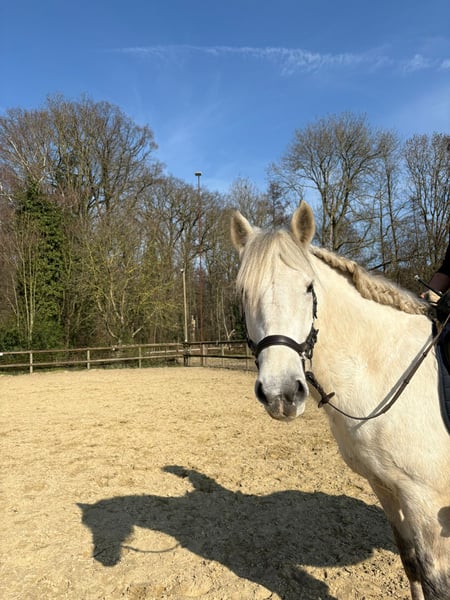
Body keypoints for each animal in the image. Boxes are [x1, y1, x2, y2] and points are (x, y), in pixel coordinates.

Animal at [231, 201, 450, 600]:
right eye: (243, 294)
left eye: (308, 288)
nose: (281, 394)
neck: (387, 370)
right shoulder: (387, 489)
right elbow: (411, 563)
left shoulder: (427, 501)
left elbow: (436, 582)